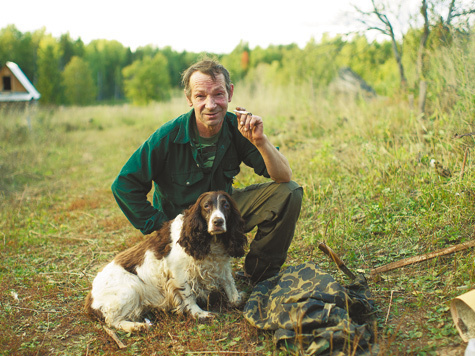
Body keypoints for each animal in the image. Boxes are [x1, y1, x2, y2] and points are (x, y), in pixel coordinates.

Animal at [85, 191, 247, 332]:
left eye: (226, 205)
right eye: (206, 206)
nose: (218, 222)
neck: (210, 241)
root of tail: (91, 298)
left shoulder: (221, 265)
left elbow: (229, 284)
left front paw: (237, 298)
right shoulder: (178, 272)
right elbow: (188, 295)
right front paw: (199, 313)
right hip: (131, 288)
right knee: (112, 320)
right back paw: (137, 326)